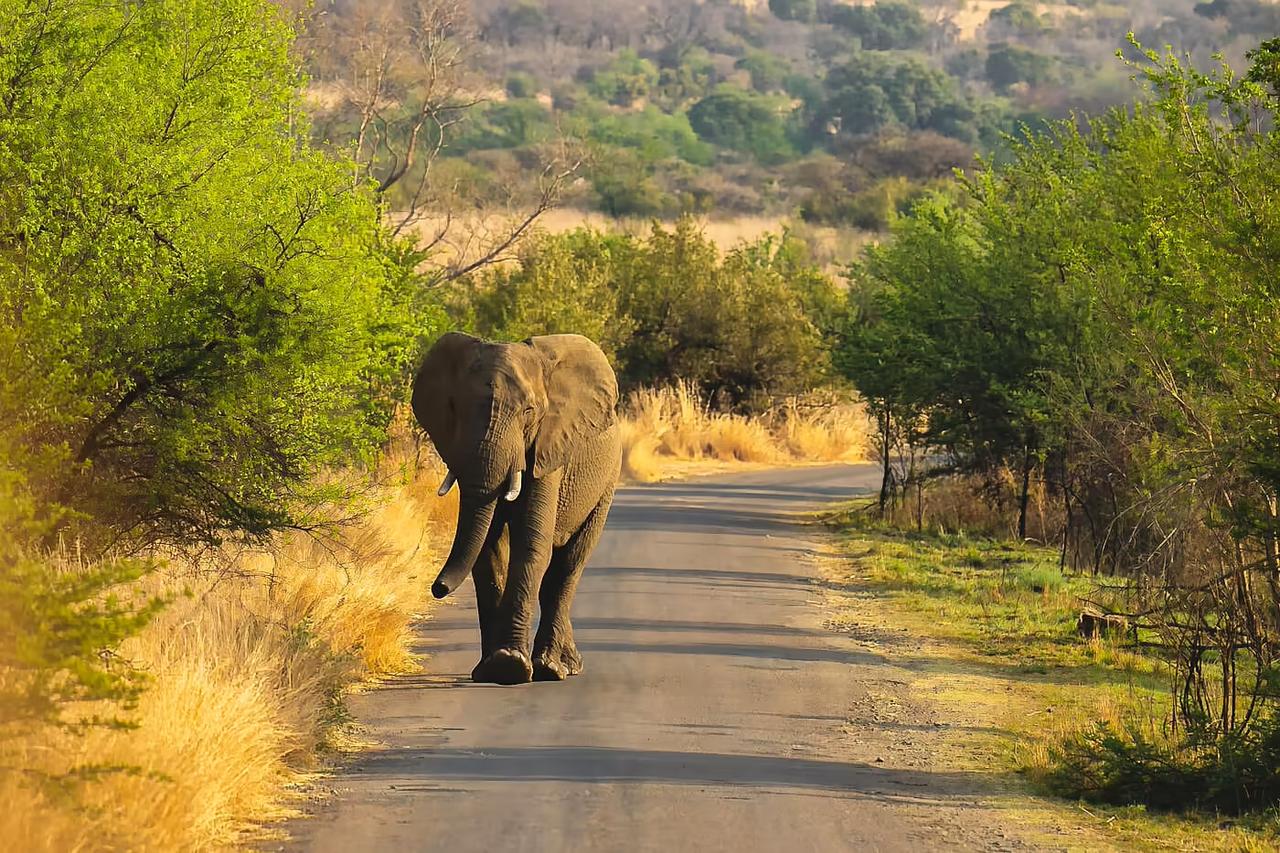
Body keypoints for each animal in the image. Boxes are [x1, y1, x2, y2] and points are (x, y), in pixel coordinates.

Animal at [411, 332, 622, 685]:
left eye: (529, 411)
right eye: (456, 409)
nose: (437, 588)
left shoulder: (549, 448)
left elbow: (529, 543)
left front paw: (510, 666)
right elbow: (488, 548)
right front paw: (492, 669)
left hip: (606, 484)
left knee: (568, 566)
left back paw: (554, 669)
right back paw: (563, 664)